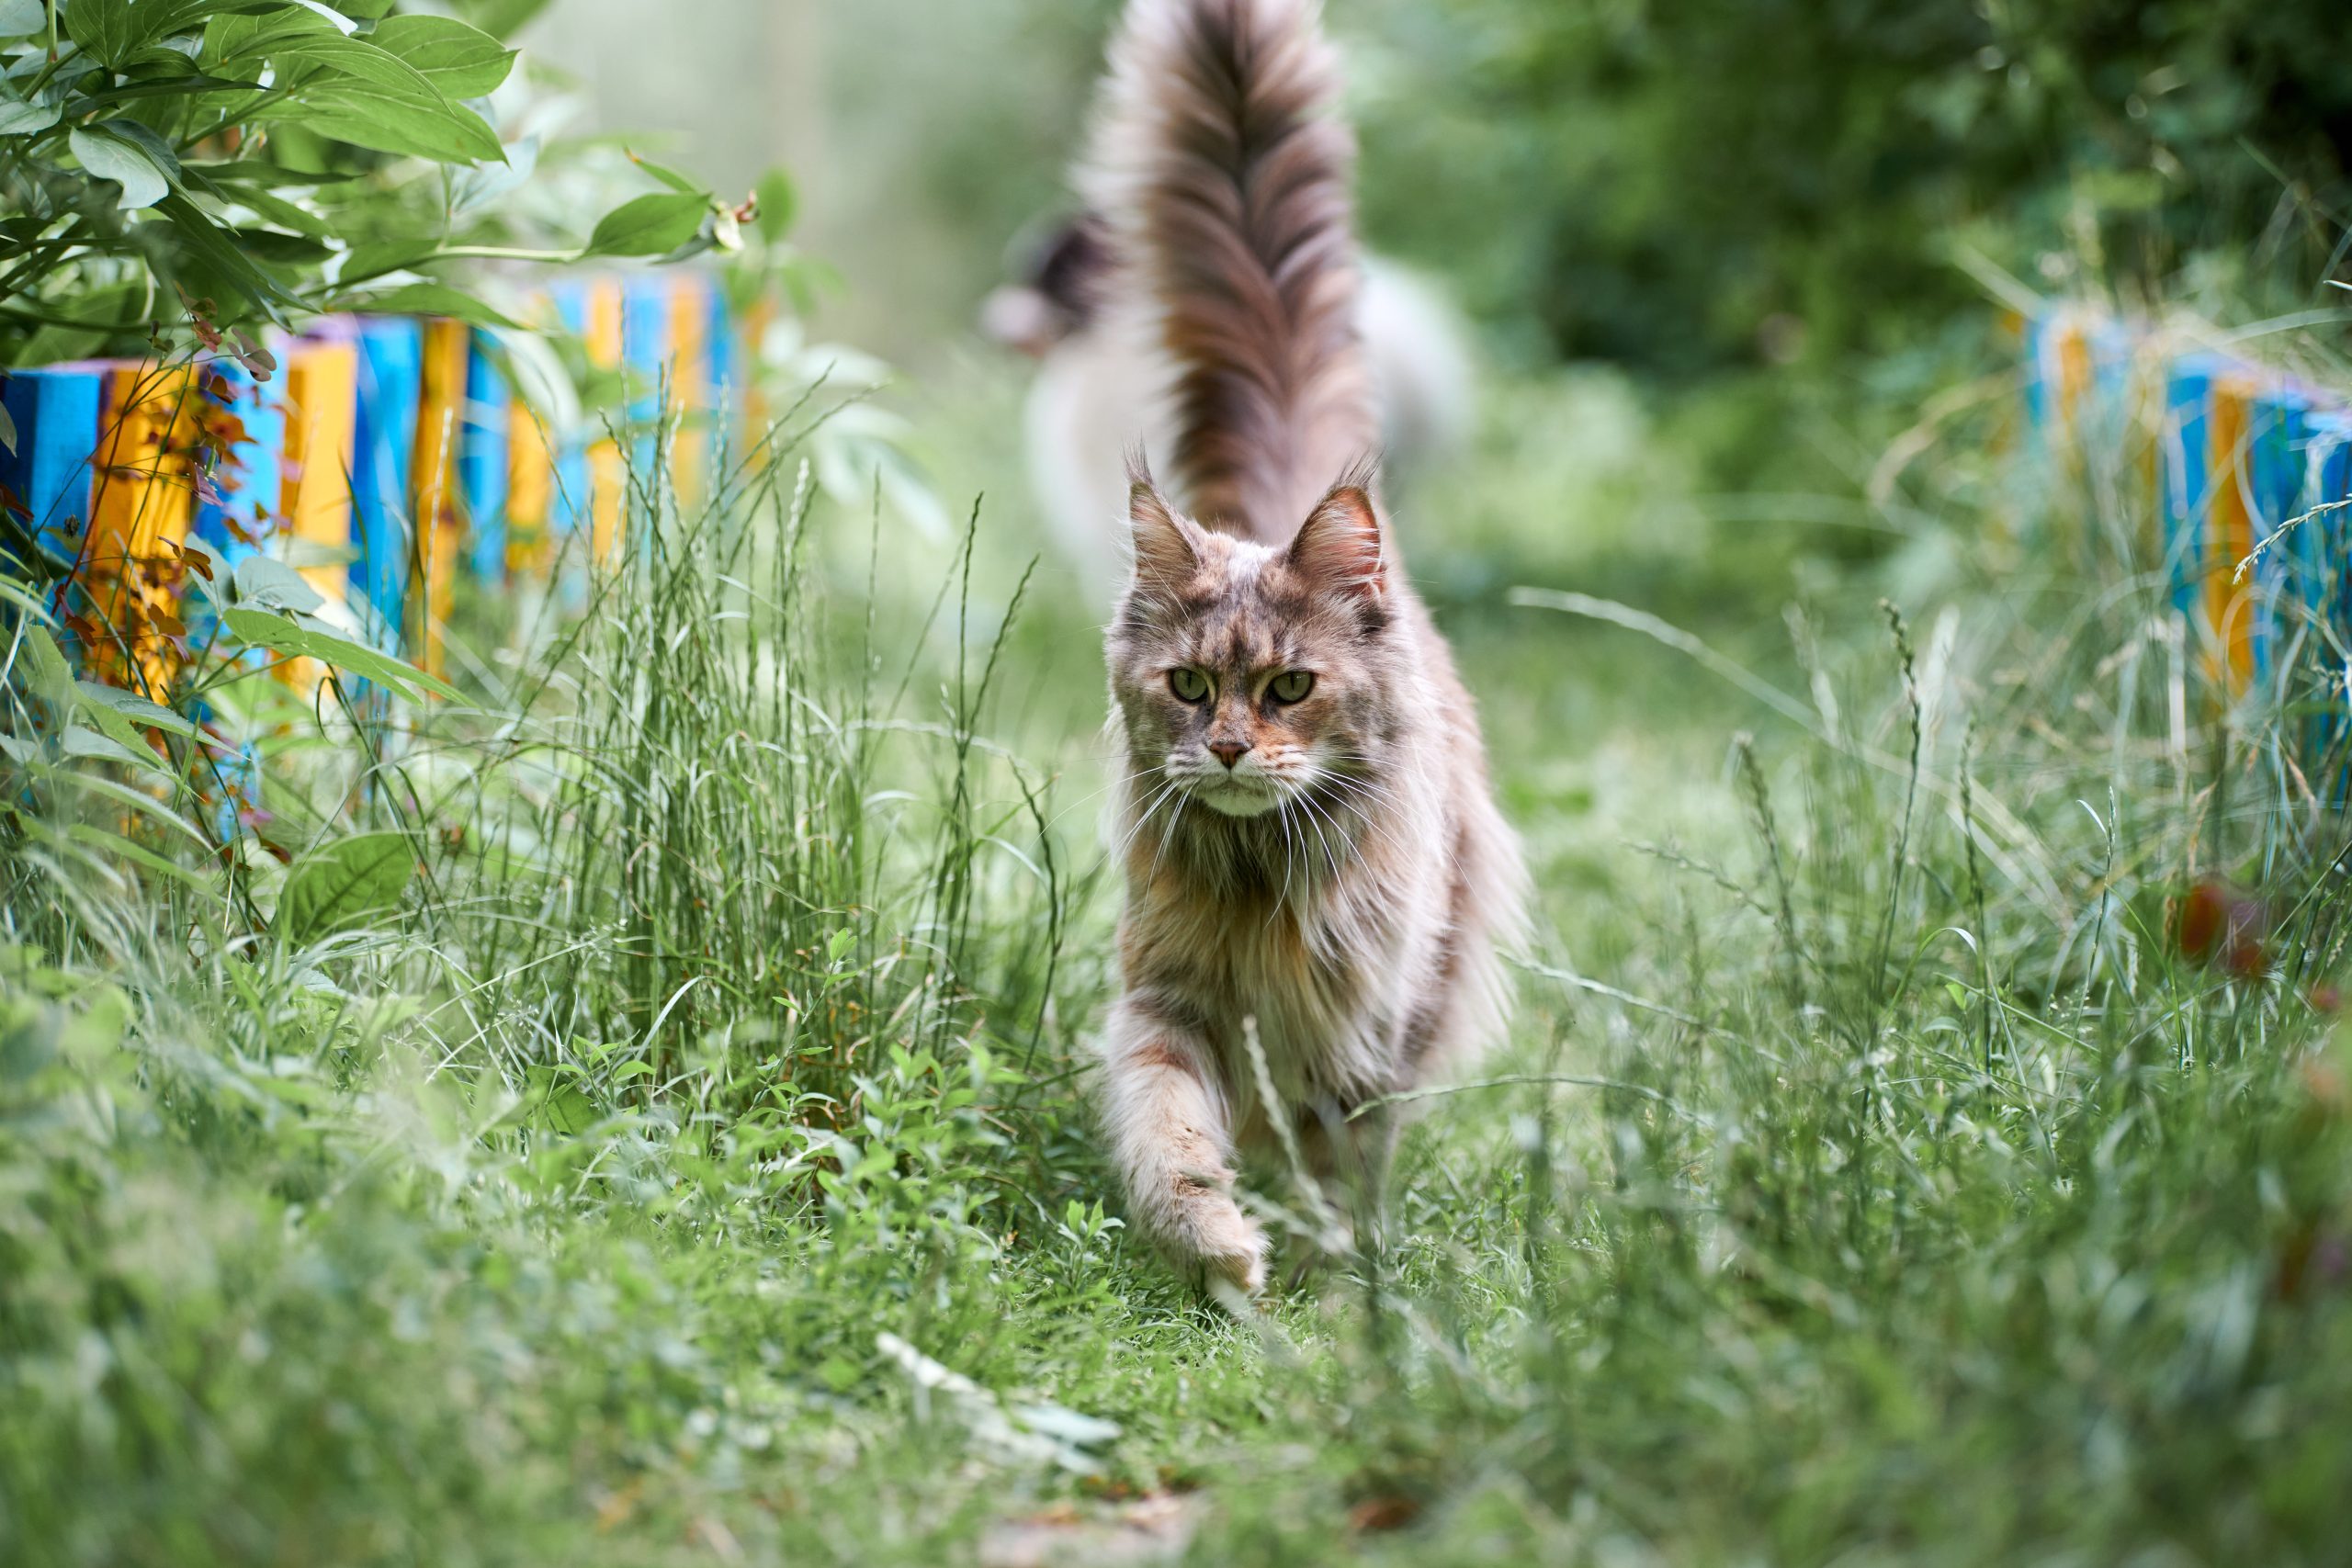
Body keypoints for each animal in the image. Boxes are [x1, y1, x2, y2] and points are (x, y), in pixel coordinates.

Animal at [1081, 0, 1523, 1297]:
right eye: (1187, 687)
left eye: (1288, 687)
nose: (1229, 748)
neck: (1257, 886)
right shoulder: (1164, 1004)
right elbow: (1170, 1133)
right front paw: (1219, 1248)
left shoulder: (1366, 1034)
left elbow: (1341, 1164)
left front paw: (1334, 1289)